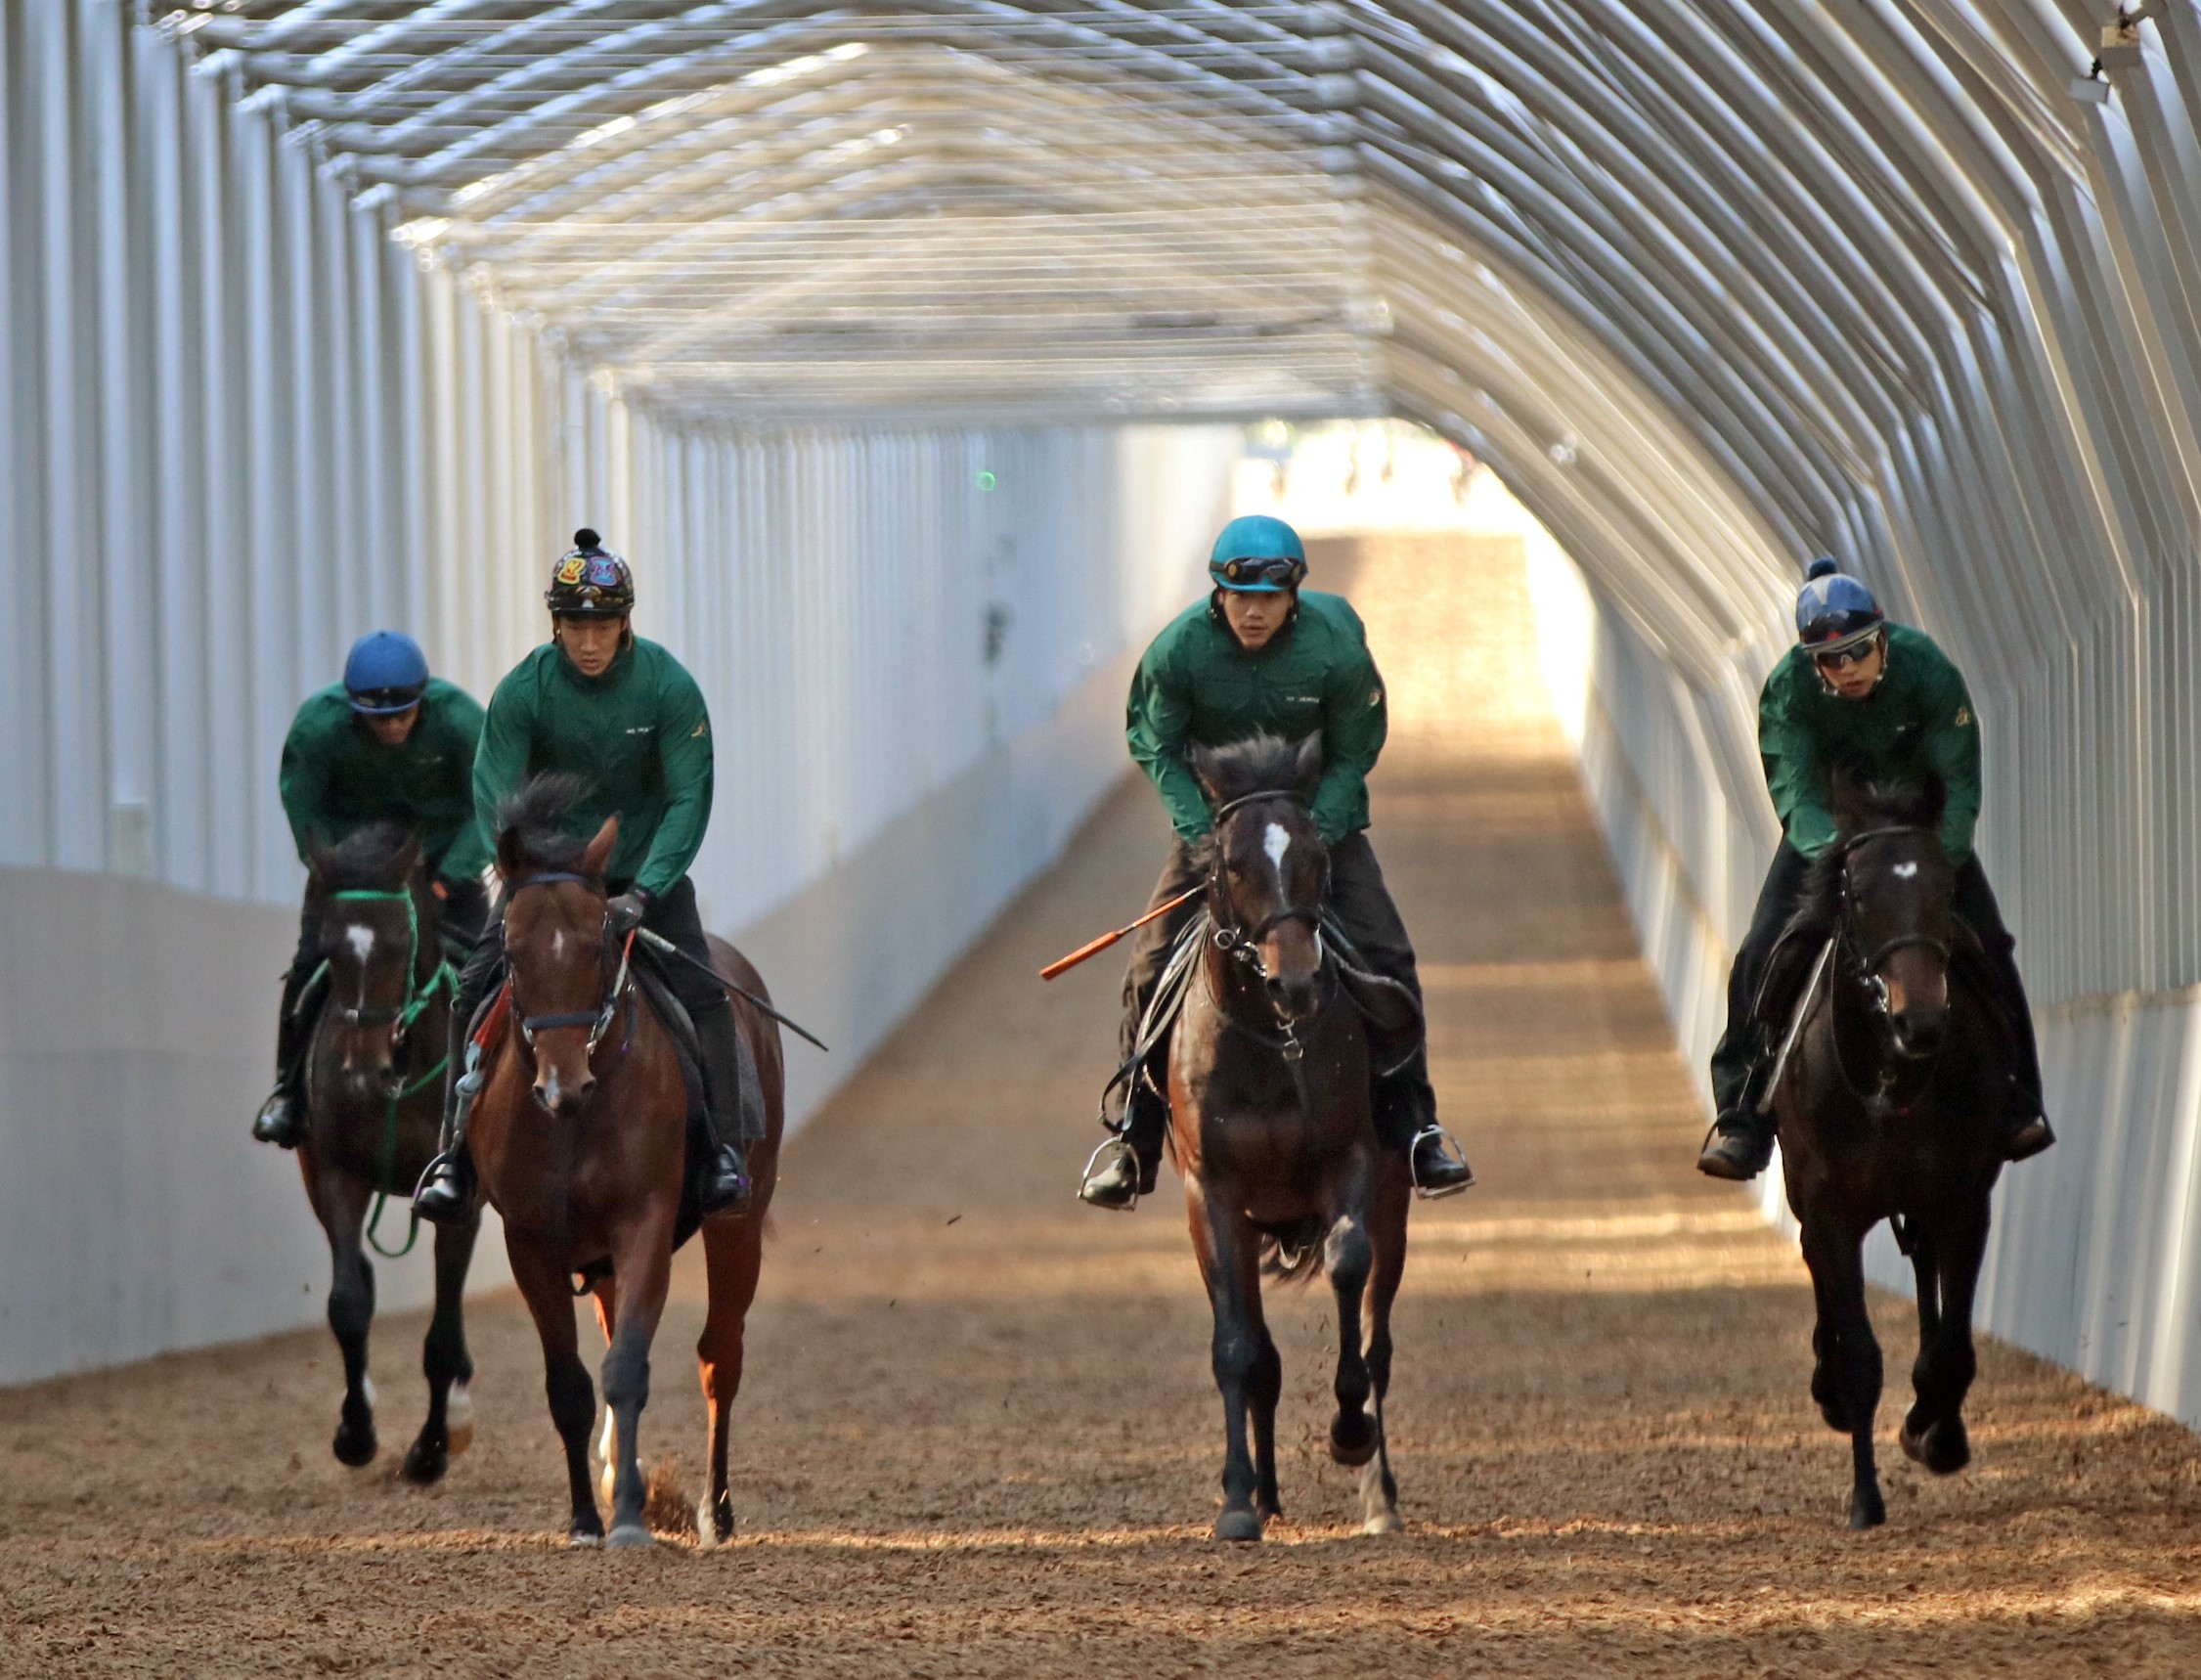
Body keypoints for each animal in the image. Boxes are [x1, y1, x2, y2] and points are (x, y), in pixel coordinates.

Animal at [294, 827, 479, 1488]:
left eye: (401, 943)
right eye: (329, 947)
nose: (361, 1071)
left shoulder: (459, 1199)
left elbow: (442, 1335)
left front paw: (430, 1449)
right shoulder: (334, 1176)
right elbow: (348, 1304)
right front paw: (355, 1432)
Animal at [468, 779, 787, 1550]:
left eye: (597, 944)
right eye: (513, 953)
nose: (563, 1085)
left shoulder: (643, 1220)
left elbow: (627, 1371)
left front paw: (631, 1521)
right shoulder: (530, 1241)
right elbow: (570, 1386)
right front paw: (589, 1516)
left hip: (740, 1219)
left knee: (719, 1356)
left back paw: (715, 1509)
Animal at [1162, 730, 1417, 1541]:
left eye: (1314, 854)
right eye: (1233, 864)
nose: (1296, 982)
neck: (1269, 1043)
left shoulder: (1353, 1163)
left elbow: (1346, 1269)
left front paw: (1348, 1432)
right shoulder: (1210, 1195)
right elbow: (1237, 1348)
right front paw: (1238, 1501)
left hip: (1396, 1201)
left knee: (1378, 1339)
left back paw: (1379, 1497)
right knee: (1262, 1356)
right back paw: (1266, 1493)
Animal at [1769, 783, 2015, 1532]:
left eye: (1944, 887)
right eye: (1857, 890)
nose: (1920, 1020)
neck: (1888, 1078)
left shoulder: (1963, 1199)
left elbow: (1950, 1352)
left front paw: (1932, 1434)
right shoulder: (1828, 1208)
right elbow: (1859, 1355)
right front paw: (1864, 1499)